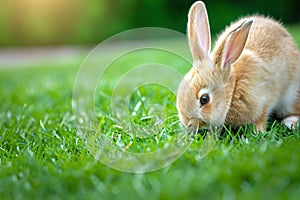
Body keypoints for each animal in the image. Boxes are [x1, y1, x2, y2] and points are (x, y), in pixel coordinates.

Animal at [176, 0, 300, 131]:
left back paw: (290, 122)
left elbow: (261, 118)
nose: (186, 123)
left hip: (291, 95)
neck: (234, 89)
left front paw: (258, 131)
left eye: (204, 99)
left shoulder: (264, 103)